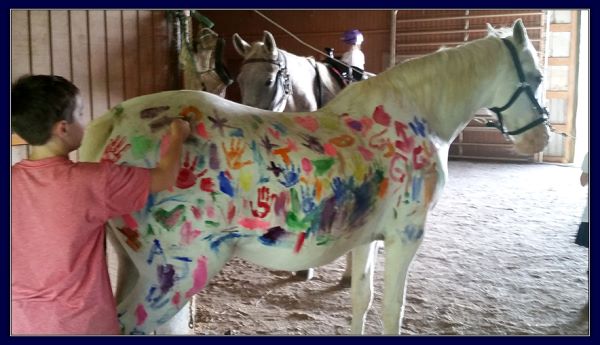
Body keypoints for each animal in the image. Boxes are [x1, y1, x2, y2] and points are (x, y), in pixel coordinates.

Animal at [79, 18, 548, 334]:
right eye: (539, 76)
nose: (540, 138)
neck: (415, 117)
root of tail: (118, 119)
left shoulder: (368, 238)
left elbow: (363, 298)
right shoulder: (406, 237)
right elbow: (392, 308)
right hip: (176, 275)